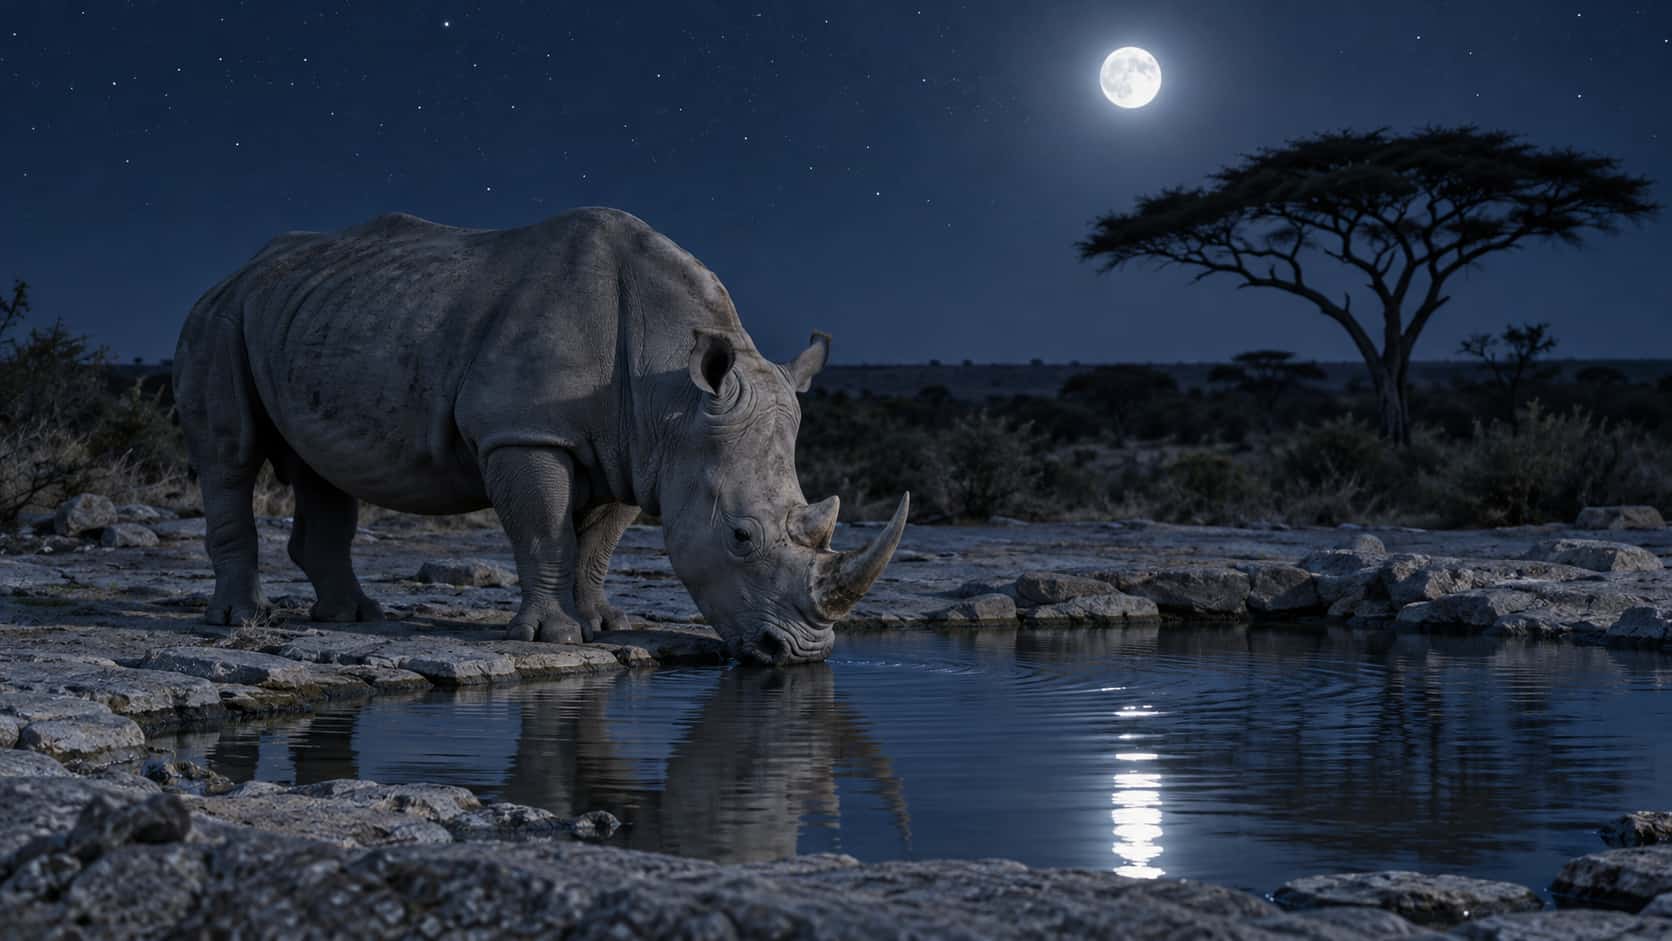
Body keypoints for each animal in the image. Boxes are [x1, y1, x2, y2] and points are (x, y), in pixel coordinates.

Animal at [173, 208, 908, 664]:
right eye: (741, 536)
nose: (800, 656)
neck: (673, 394)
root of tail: (235, 273)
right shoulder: (524, 431)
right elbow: (543, 530)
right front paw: (555, 637)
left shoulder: (638, 447)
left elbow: (598, 543)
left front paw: (605, 623)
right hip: (219, 318)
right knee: (229, 454)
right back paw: (243, 620)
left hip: (312, 312)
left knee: (322, 471)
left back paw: (355, 618)